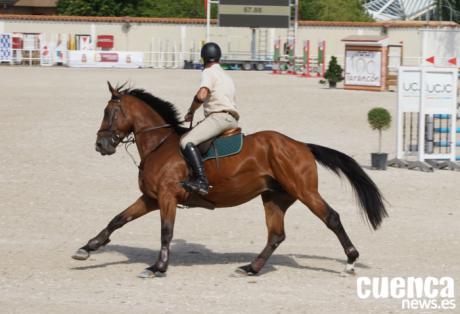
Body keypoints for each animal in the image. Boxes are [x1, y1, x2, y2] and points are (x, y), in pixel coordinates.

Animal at [73, 82, 388, 278]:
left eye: (109, 112)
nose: (101, 145)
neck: (158, 144)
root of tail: (302, 145)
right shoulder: (151, 198)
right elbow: (118, 219)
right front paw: (87, 248)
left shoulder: (166, 197)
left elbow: (166, 232)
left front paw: (158, 267)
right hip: (274, 197)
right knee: (276, 235)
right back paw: (251, 268)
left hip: (304, 191)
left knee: (331, 218)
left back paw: (350, 260)